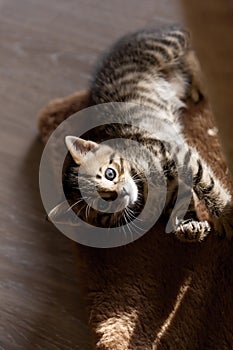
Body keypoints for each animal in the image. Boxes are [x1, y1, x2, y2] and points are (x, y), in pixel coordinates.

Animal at [48, 26, 232, 242]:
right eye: (102, 204)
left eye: (110, 173)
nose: (122, 193)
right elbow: (182, 201)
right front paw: (188, 226)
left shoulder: (177, 152)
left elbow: (206, 183)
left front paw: (225, 214)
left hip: (167, 46)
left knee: (190, 41)